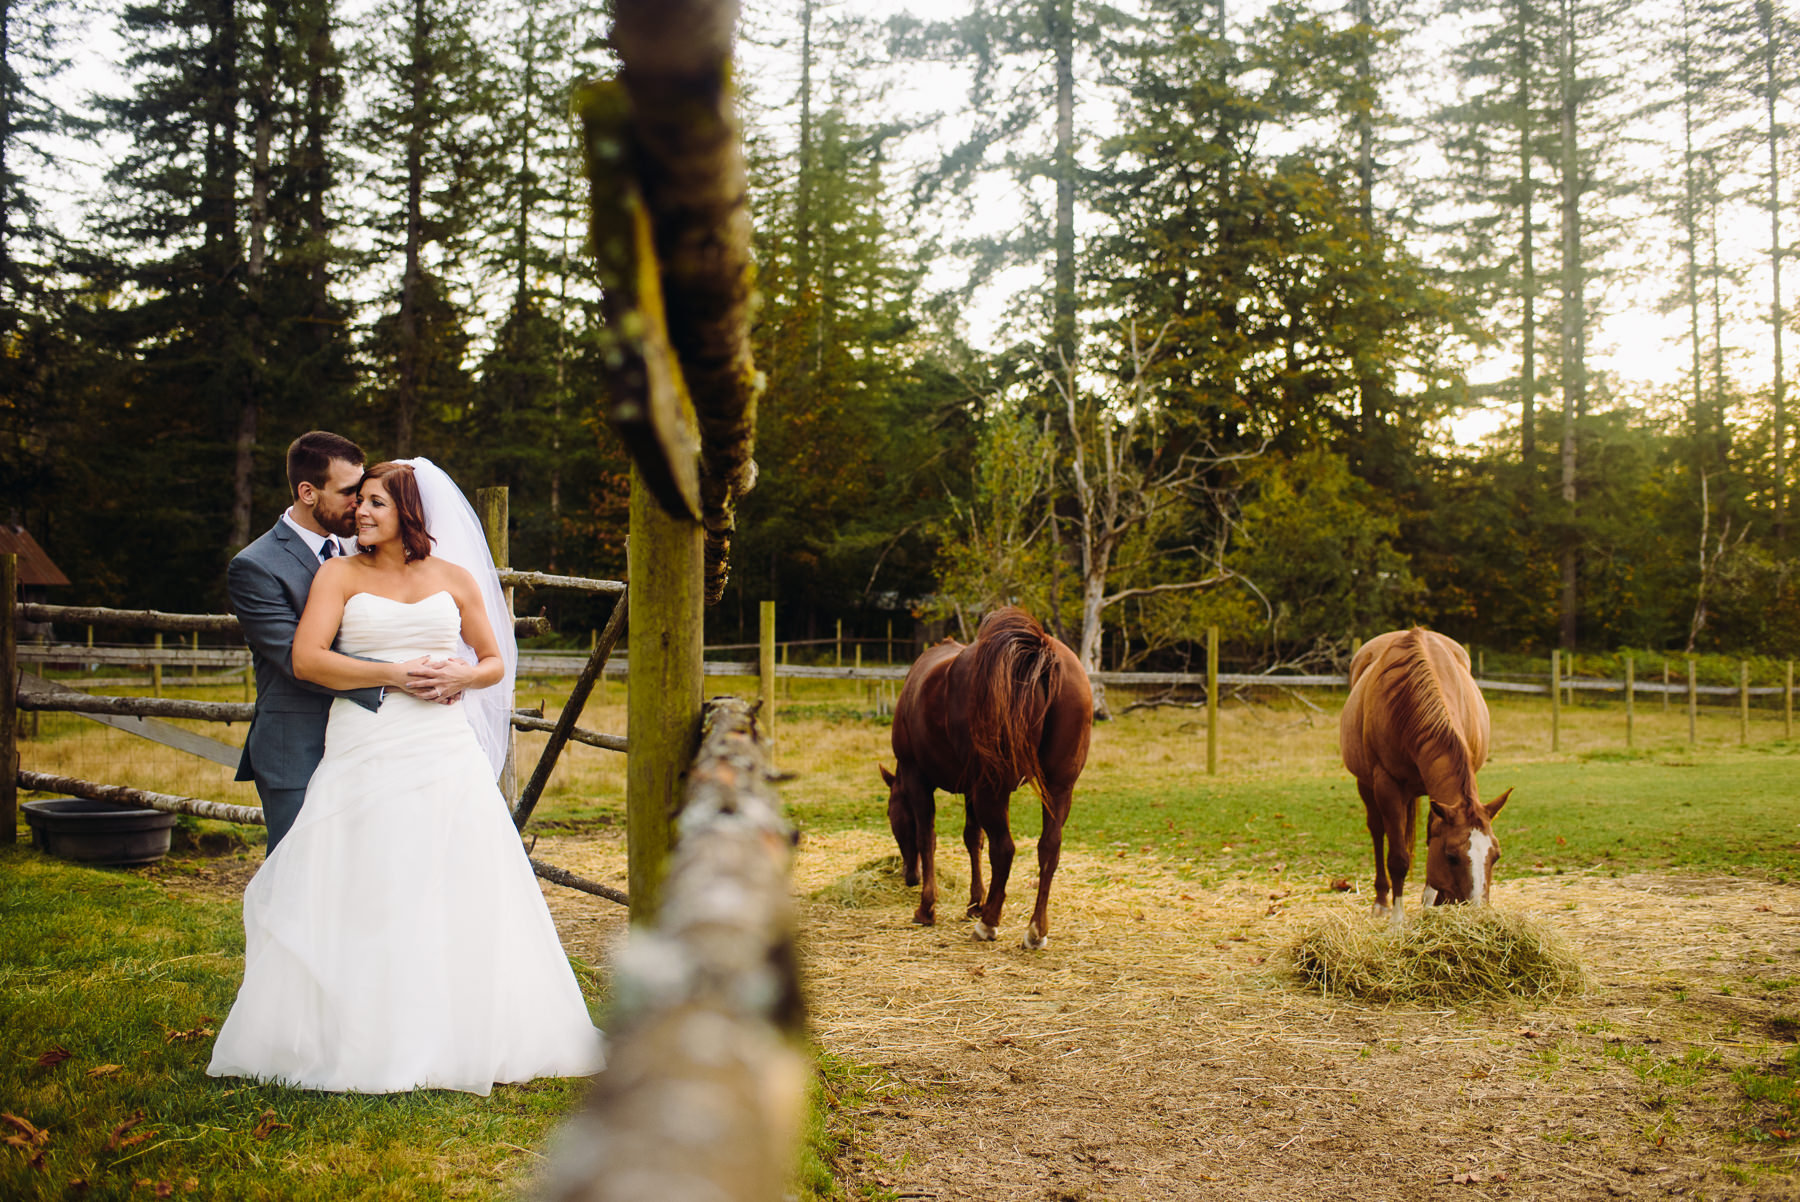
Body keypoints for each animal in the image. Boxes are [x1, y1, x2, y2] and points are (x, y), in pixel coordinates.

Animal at [878, 604, 1087, 950]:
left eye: (891, 814)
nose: (910, 877)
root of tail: (1038, 650)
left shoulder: (917, 777)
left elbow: (927, 838)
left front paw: (927, 907)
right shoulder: (970, 789)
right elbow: (972, 838)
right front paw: (976, 902)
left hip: (994, 788)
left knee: (1004, 848)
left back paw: (989, 924)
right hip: (1058, 787)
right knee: (1049, 848)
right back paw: (1035, 930)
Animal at [1339, 629, 1519, 928]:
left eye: (1496, 856)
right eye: (1451, 857)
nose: (1477, 913)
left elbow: (1430, 835)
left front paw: (1429, 901)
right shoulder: (1386, 784)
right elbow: (1398, 857)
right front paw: (1397, 920)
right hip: (1366, 785)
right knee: (1377, 831)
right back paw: (1381, 902)